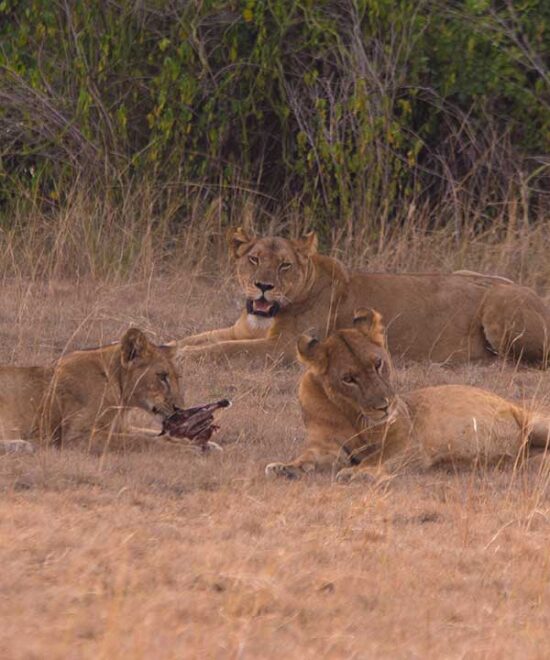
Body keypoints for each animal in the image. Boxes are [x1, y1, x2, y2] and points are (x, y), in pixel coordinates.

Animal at [0, 328, 183, 456]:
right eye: (162, 376)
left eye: (177, 377)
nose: (179, 408)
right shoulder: (77, 436)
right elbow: (138, 441)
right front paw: (184, 449)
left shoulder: (121, 427)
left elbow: (147, 434)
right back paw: (23, 445)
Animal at [176, 228, 550, 366]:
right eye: (253, 259)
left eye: (284, 265)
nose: (263, 286)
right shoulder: (239, 330)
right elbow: (198, 338)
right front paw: (171, 347)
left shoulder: (285, 348)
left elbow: (224, 349)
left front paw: (184, 356)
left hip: (499, 307)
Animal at [266, 310, 550, 484]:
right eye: (348, 378)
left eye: (378, 364)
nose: (384, 406)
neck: (352, 414)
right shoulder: (324, 445)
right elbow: (307, 458)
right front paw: (284, 467)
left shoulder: (404, 437)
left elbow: (378, 457)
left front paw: (358, 473)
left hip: (536, 423)